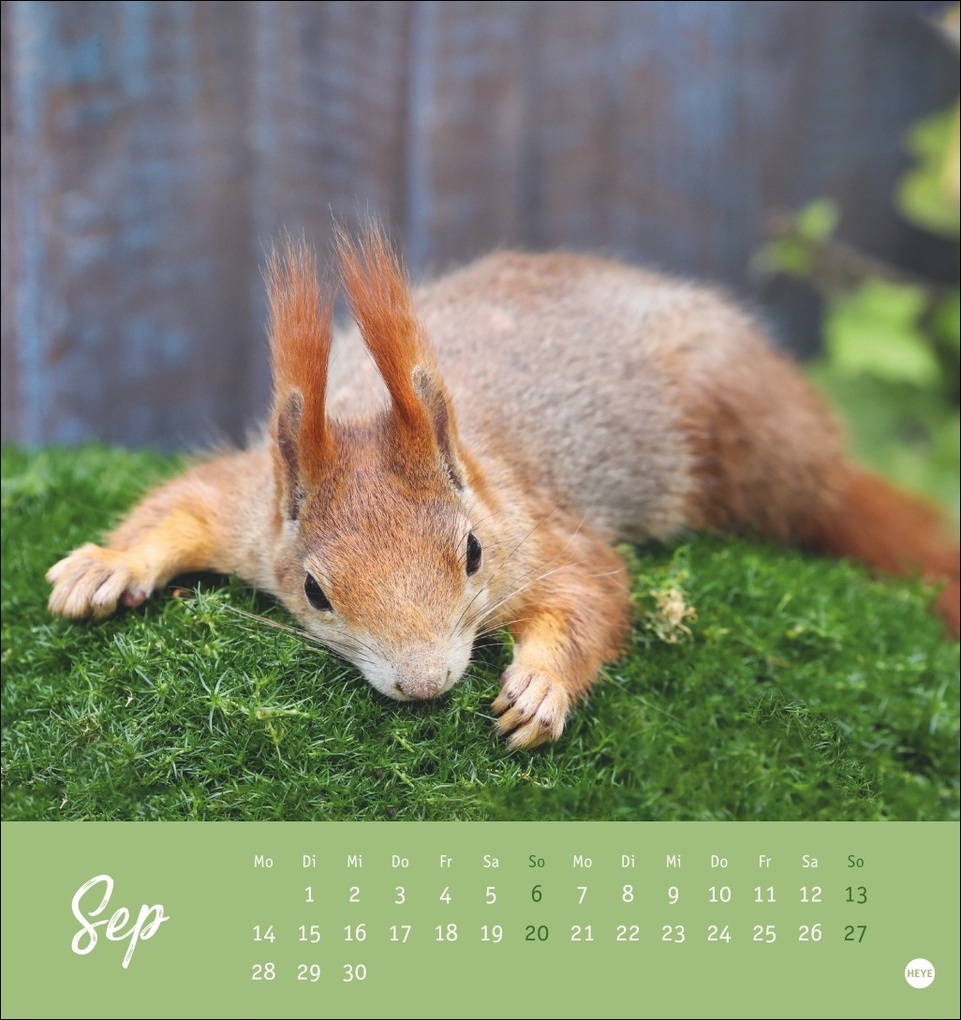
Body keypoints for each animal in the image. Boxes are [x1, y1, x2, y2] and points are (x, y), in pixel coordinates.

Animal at [46, 226, 960, 749]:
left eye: (474, 554)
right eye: (313, 592)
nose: (424, 686)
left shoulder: (539, 530)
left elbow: (591, 590)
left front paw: (542, 685)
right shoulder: (250, 507)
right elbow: (182, 503)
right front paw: (107, 565)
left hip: (734, 441)